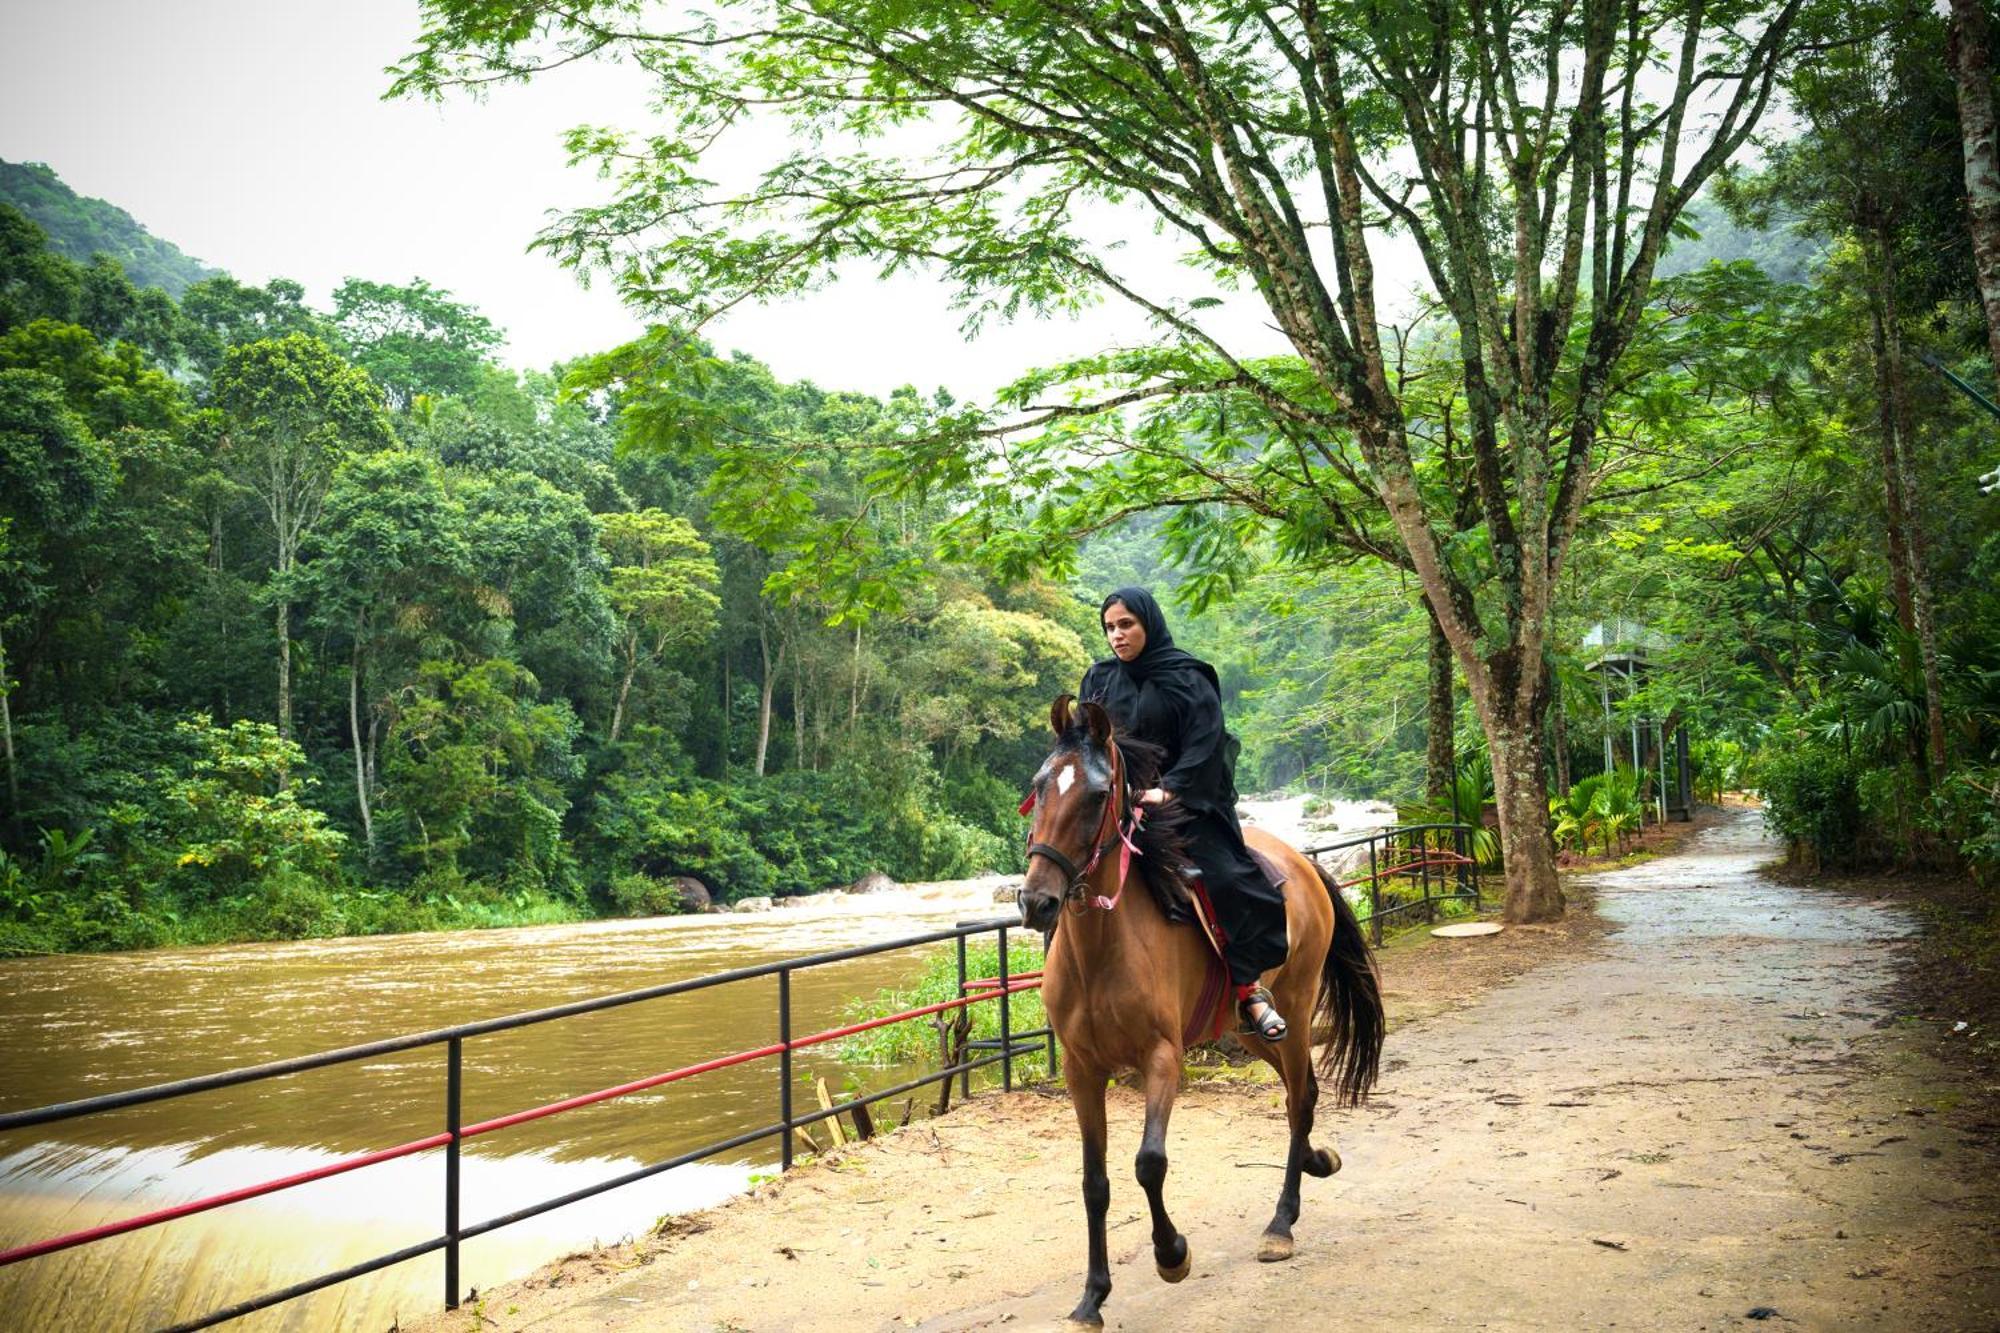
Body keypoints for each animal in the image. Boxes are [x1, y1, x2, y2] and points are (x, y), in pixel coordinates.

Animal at [1024, 688, 1384, 1320]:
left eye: (1096, 796)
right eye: (1040, 785)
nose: (1035, 901)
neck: (1101, 949)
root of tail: (1302, 860)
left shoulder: (1162, 1058)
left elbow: (1149, 1163)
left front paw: (1172, 1254)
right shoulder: (1080, 1070)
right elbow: (1095, 1182)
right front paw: (1091, 1299)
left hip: (1295, 1006)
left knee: (1300, 1098)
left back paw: (1281, 1224)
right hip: (1245, 1033)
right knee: (1302, 1091)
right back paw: (1316, 1160)